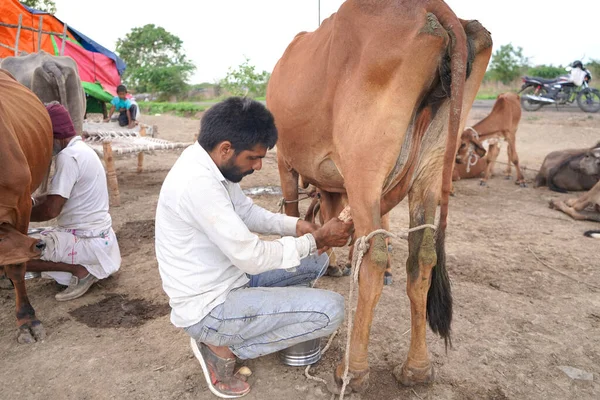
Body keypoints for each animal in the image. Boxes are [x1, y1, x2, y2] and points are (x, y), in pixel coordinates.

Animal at [268, 1, 492, 392]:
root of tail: (436, 8)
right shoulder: (333, 182)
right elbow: (329, 217)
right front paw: (332, 263)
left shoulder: (287, 162)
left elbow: (298, 213)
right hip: (430, 173)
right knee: (423, 260)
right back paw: (417, 368)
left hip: (365, 169)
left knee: (373, 260)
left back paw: (353, 370)